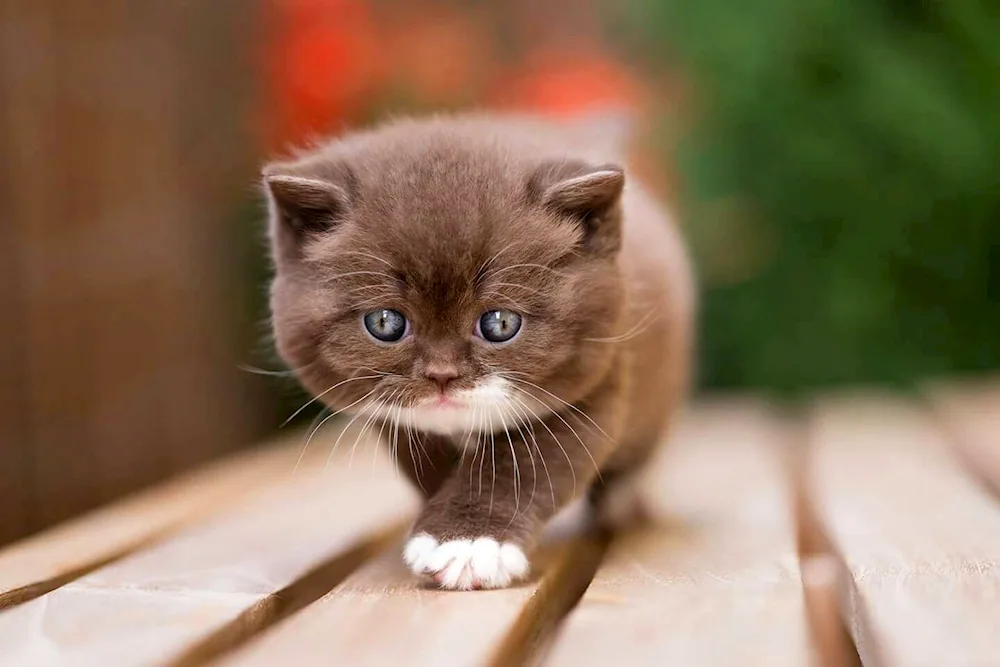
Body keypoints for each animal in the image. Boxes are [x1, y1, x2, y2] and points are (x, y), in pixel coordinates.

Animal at [262, 113, 692, 588]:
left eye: (500, 324)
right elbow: (427, 463)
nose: (442, 374)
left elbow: (524, 463)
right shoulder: (397, 421)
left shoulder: (601, 376)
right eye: (385, 323)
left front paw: (468, 544)